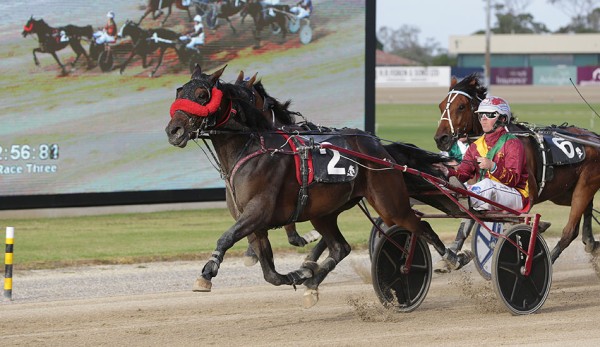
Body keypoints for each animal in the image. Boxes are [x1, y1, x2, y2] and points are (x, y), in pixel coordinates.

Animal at [164, 65, 454, 308]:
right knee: (340, 247)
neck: (253, 147)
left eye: (202, 95)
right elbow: (270, 273)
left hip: (388, 202)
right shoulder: (254, 223)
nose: (173, 130)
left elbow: (226, 237)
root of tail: (378, 147)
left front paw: (207, 273)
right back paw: (312, 282)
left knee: (419, 225)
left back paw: (450, 258)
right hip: (324, 212)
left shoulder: (258, 211)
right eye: (179, 91)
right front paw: (298, 273)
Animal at [434, 74, 600, 264]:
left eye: (461, 106)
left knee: (570, 231)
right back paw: (590, 242)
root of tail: (594, 137)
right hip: (563, 193)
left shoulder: (529, 192)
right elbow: (468, 219)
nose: (441, 138)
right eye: (441, 106)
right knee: (586, 211)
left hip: (584, 186)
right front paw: (452, 257)